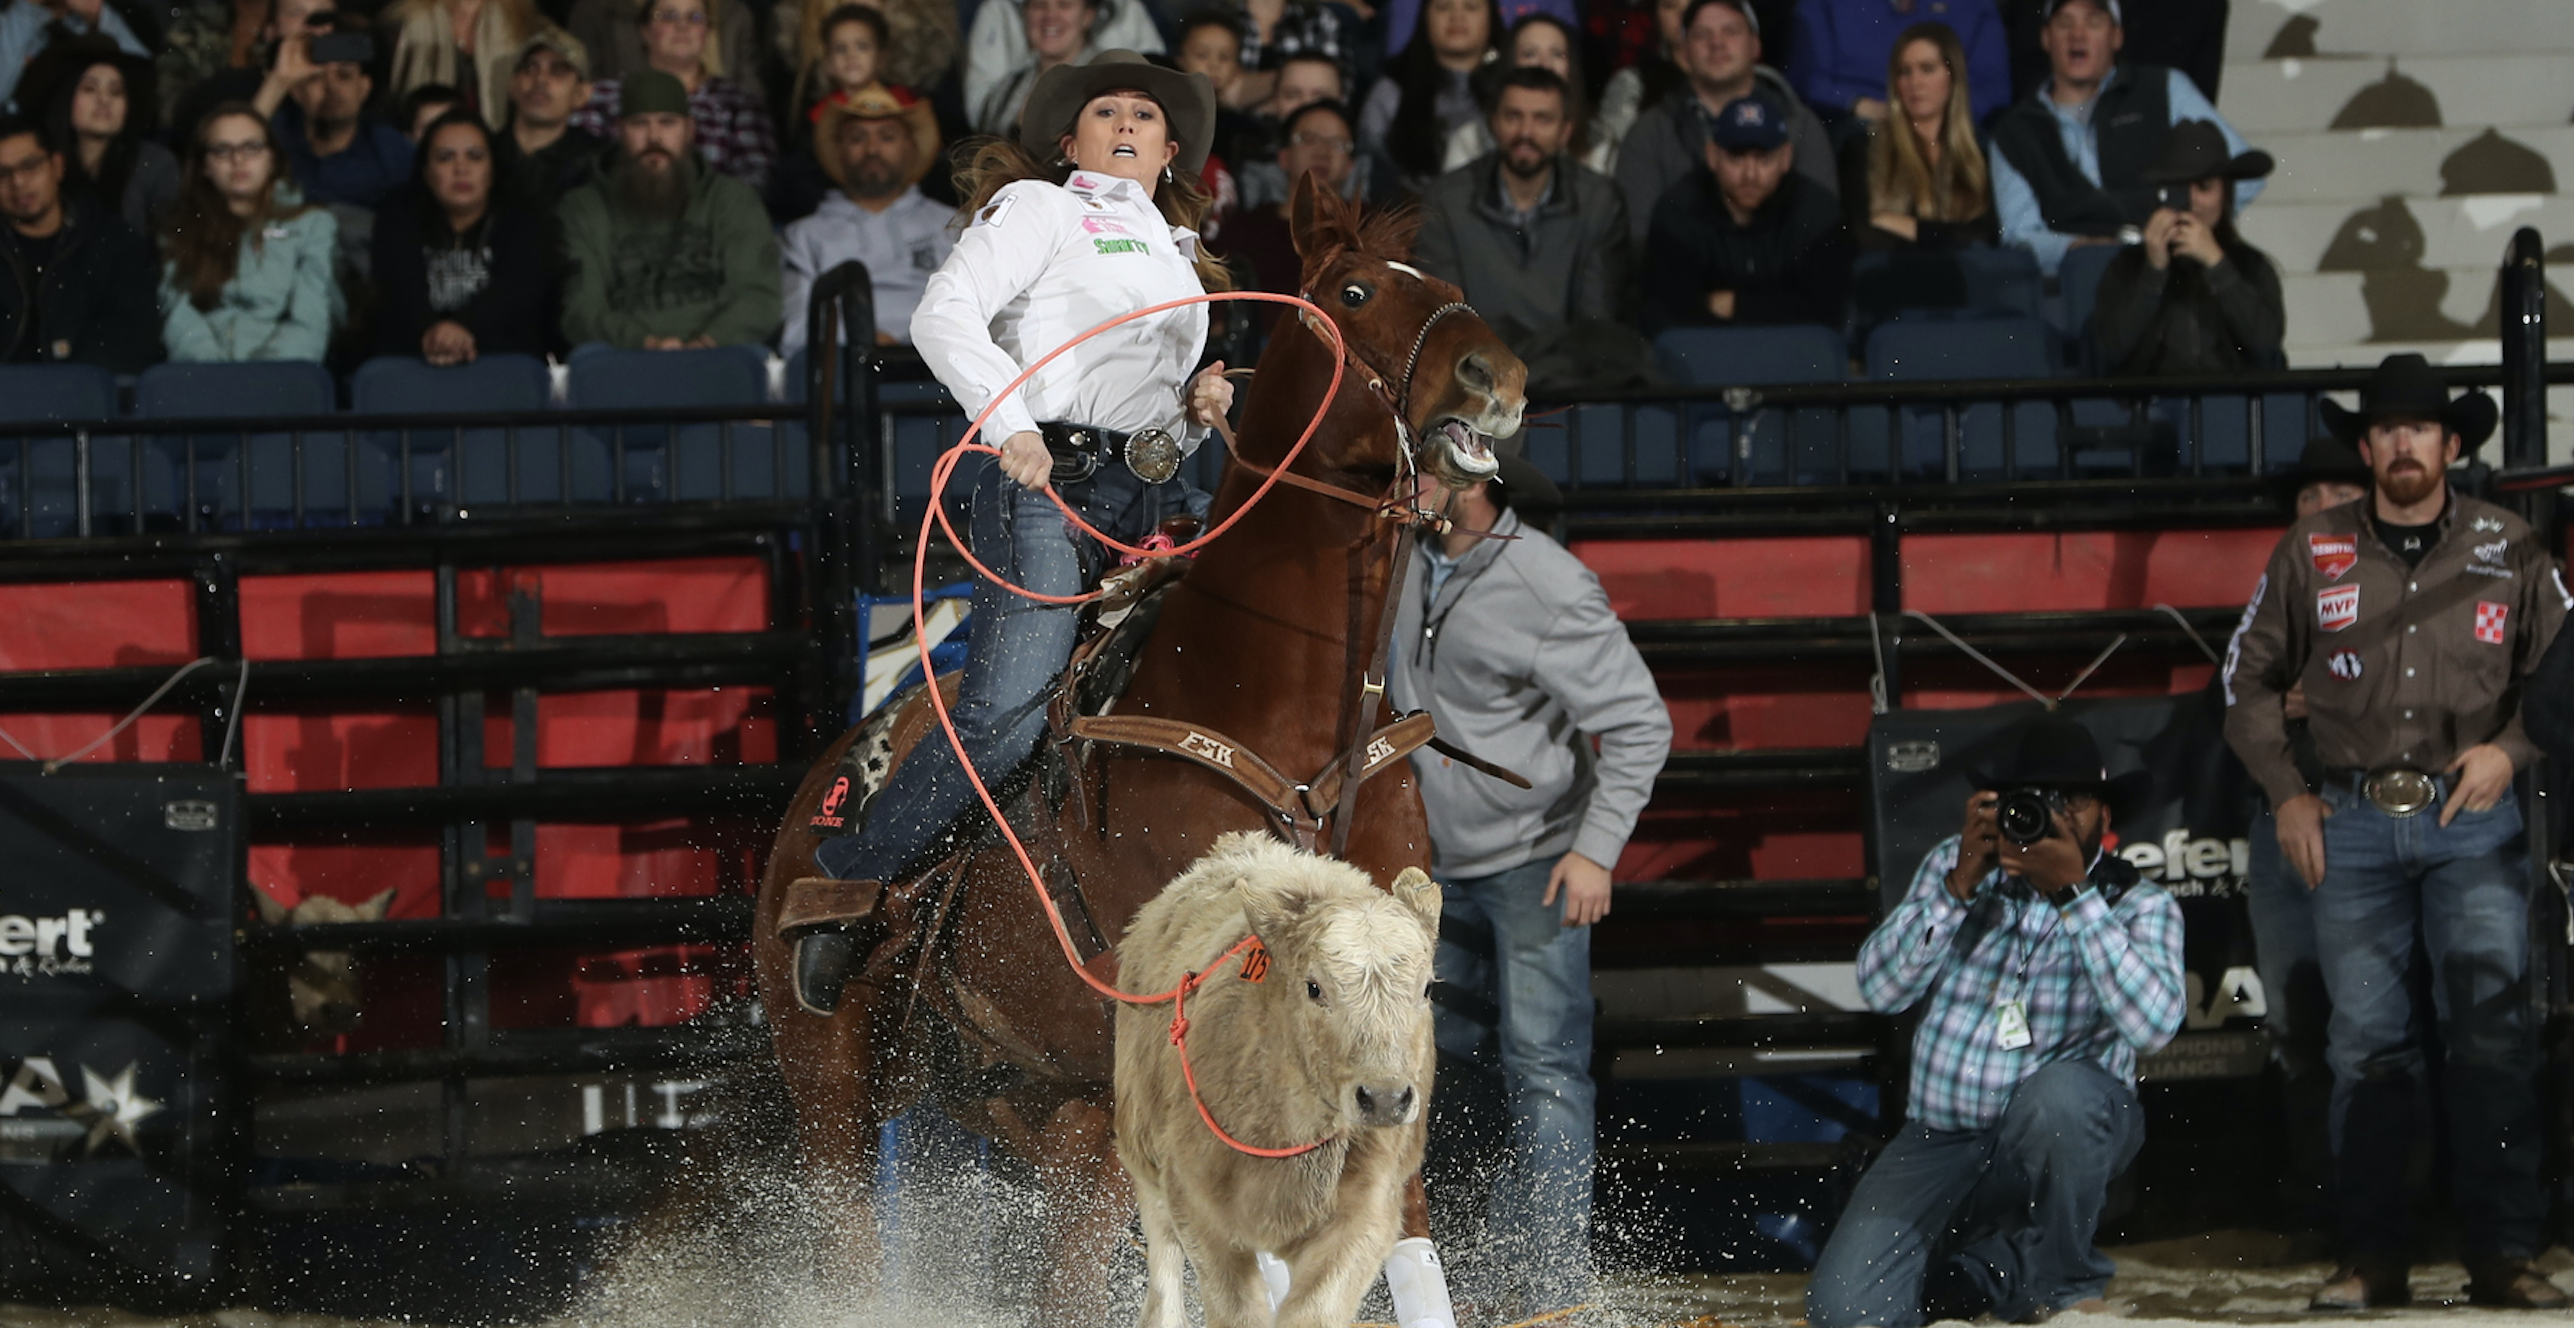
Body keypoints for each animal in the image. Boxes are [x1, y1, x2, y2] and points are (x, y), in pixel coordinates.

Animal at [746, 176, 1523, 1317]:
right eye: (1354, 289)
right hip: (832, 1086)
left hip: (1052, 1110)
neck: (1282, 727)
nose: (1497, 376)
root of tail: (820, 791)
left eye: (1447, 284)